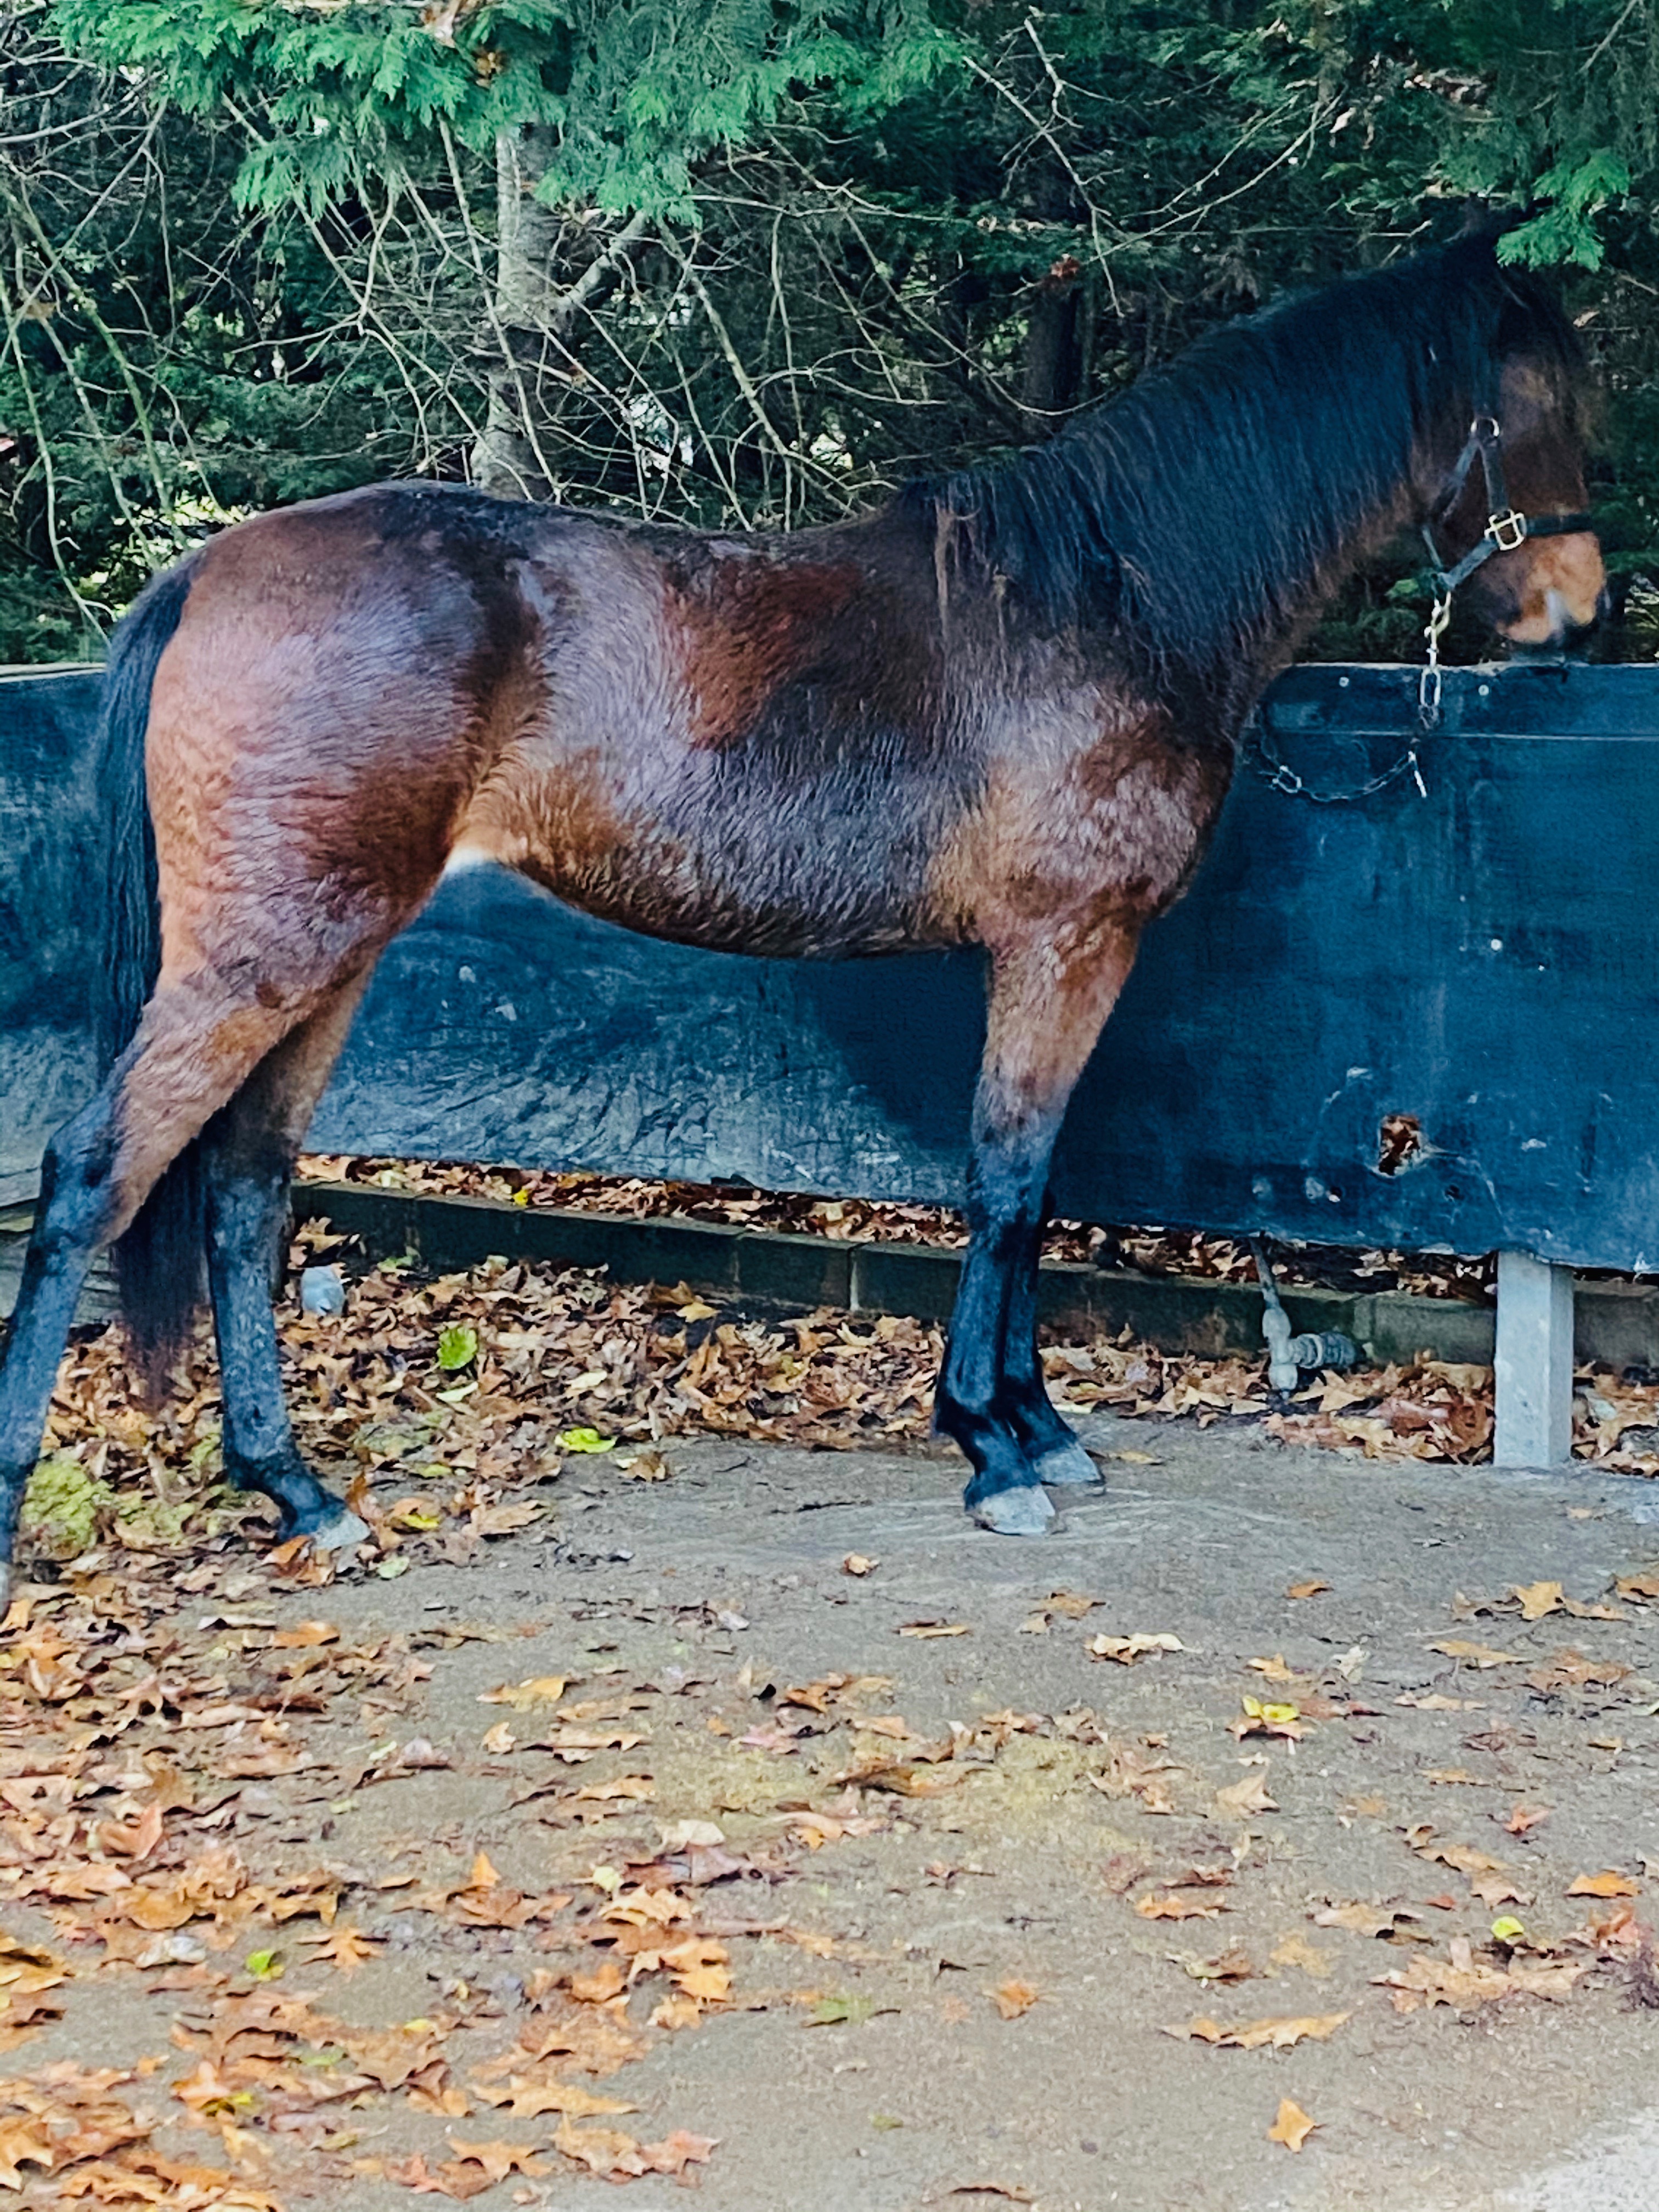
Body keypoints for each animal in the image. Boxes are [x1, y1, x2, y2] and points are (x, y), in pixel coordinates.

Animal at [0, 226, 1603, 1602]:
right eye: (1530, 398)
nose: (1581, 605)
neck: (1110, 601)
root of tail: (212, 568)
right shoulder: (1064, 941)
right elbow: (1009, 1178)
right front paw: (994, 1448)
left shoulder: (1064, 953)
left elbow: (1032, 1180)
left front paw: (1036, 1424)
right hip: (263, 959)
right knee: (92, 1174)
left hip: (327, 953)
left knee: (245, 1186)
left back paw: (295, 1489)